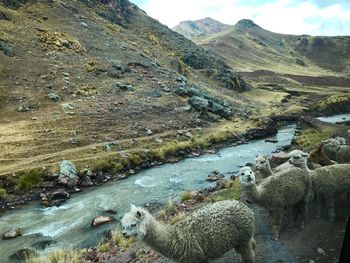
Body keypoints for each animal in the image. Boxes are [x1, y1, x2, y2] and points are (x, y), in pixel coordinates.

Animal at [121, 203, 256, 262]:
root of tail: (244, 206)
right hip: (241, 238)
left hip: (243, 238)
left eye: (133, 224)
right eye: (123, 225)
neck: (177, 237)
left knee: (248, 256)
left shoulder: (197, 258)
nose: (123, 234)